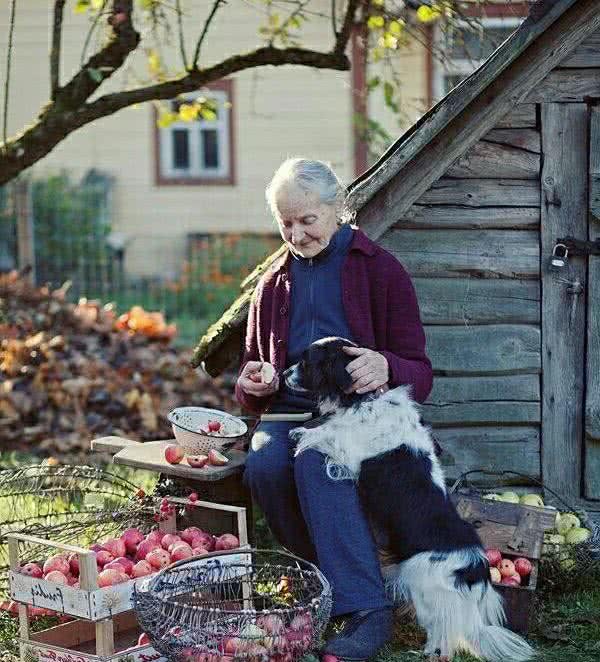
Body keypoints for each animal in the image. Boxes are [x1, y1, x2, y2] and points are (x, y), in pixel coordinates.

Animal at [286, 340, 536, 660]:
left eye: (306, 362)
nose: (284, 373)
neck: (364, 400)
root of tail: (473, 571)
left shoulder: (348, 450)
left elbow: (327, 433)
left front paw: (301, 433)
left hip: (423, 585)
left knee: (443, 634)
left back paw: (429, 651)